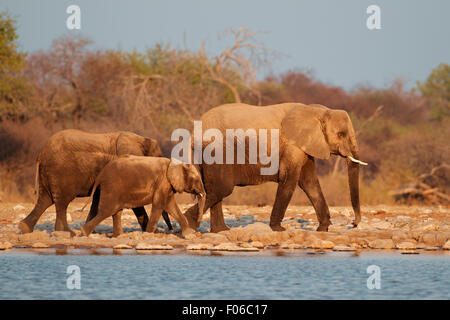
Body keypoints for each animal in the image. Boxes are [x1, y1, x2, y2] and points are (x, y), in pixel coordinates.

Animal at [18, 129, 172, 236]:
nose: (171, 231)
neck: (141, 139)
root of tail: (40, 154)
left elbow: (97, 200)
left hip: (48, 173)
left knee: (45, 200)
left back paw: (26, 228)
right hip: (60, 172)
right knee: (61, 201)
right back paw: (67, 233)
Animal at [183, 103, 366, 232]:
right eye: (341, 134)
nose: (353, 223)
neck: (318, 110)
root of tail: (194, 131)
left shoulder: (305, 146)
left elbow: (309, 182)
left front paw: (323, 228)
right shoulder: (293, 144)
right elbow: (290, 180)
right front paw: (279, 229)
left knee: (215, 190)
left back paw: (220, 230)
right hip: (216, 149)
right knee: (221, 189)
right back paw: (188, 225)